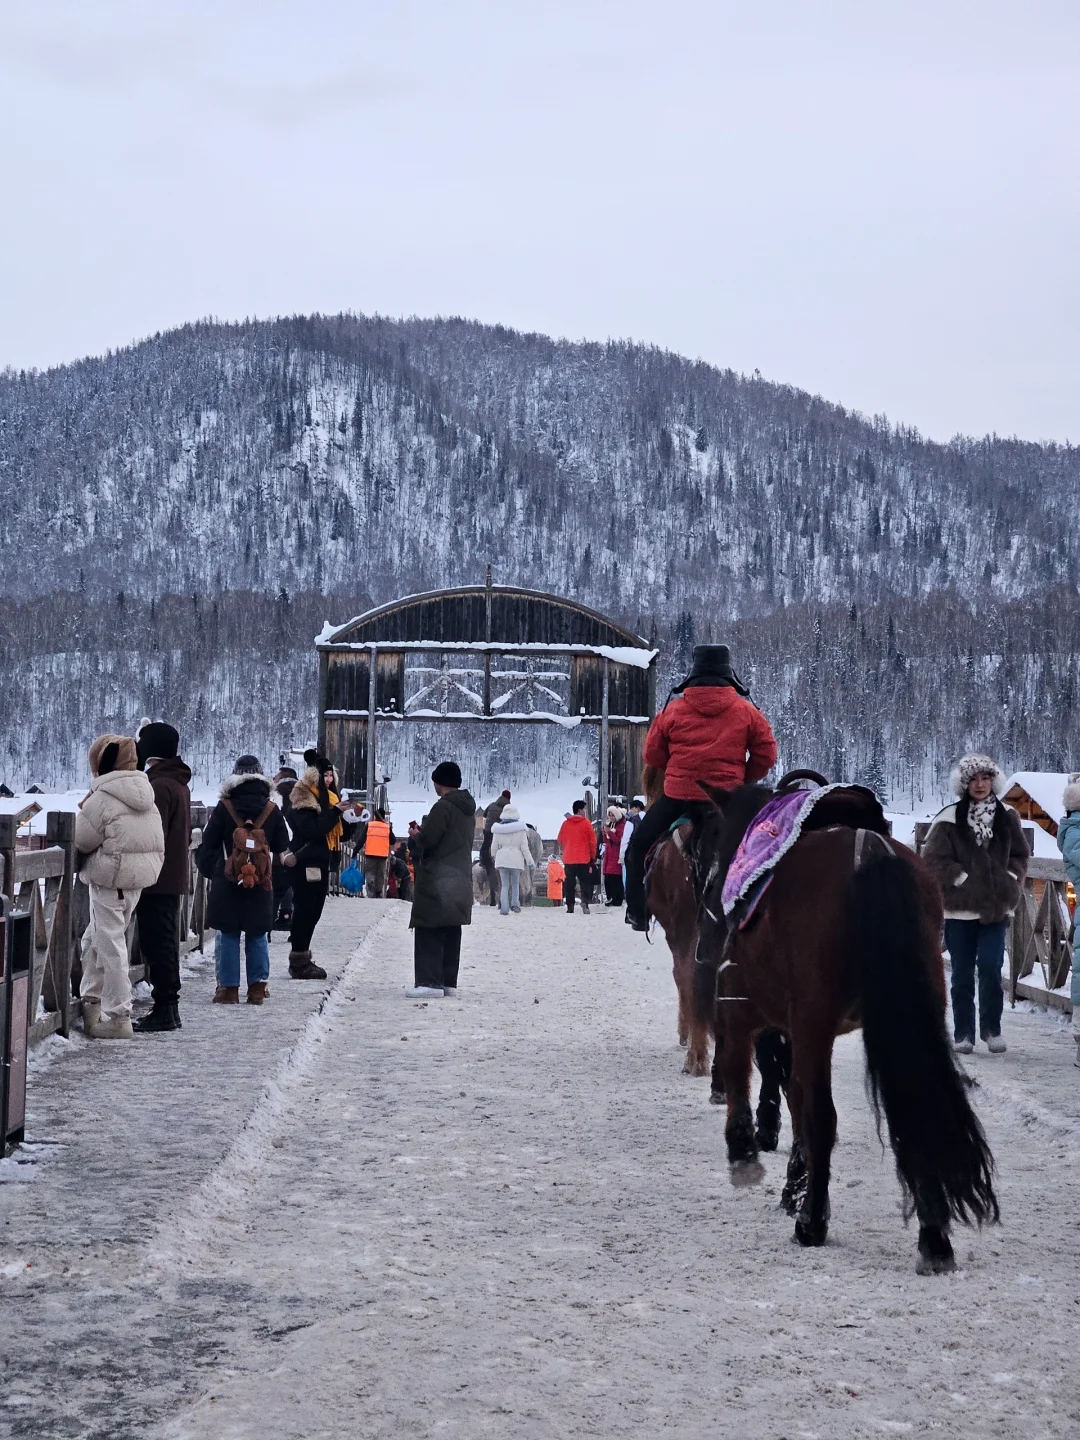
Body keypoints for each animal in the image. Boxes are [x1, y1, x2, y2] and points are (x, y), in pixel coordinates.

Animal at [696, 789, 1002, 1272]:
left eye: (712, 839)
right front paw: (793, 1185)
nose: (708, 897)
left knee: (822, 1116)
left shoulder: (745, 1011)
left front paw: (747, 1155)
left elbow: (744, 1074)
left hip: (814, 1018)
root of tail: (869, 852)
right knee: (912, 1107)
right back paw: (934, 1238)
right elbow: (792, 1095)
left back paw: (812, 1224)